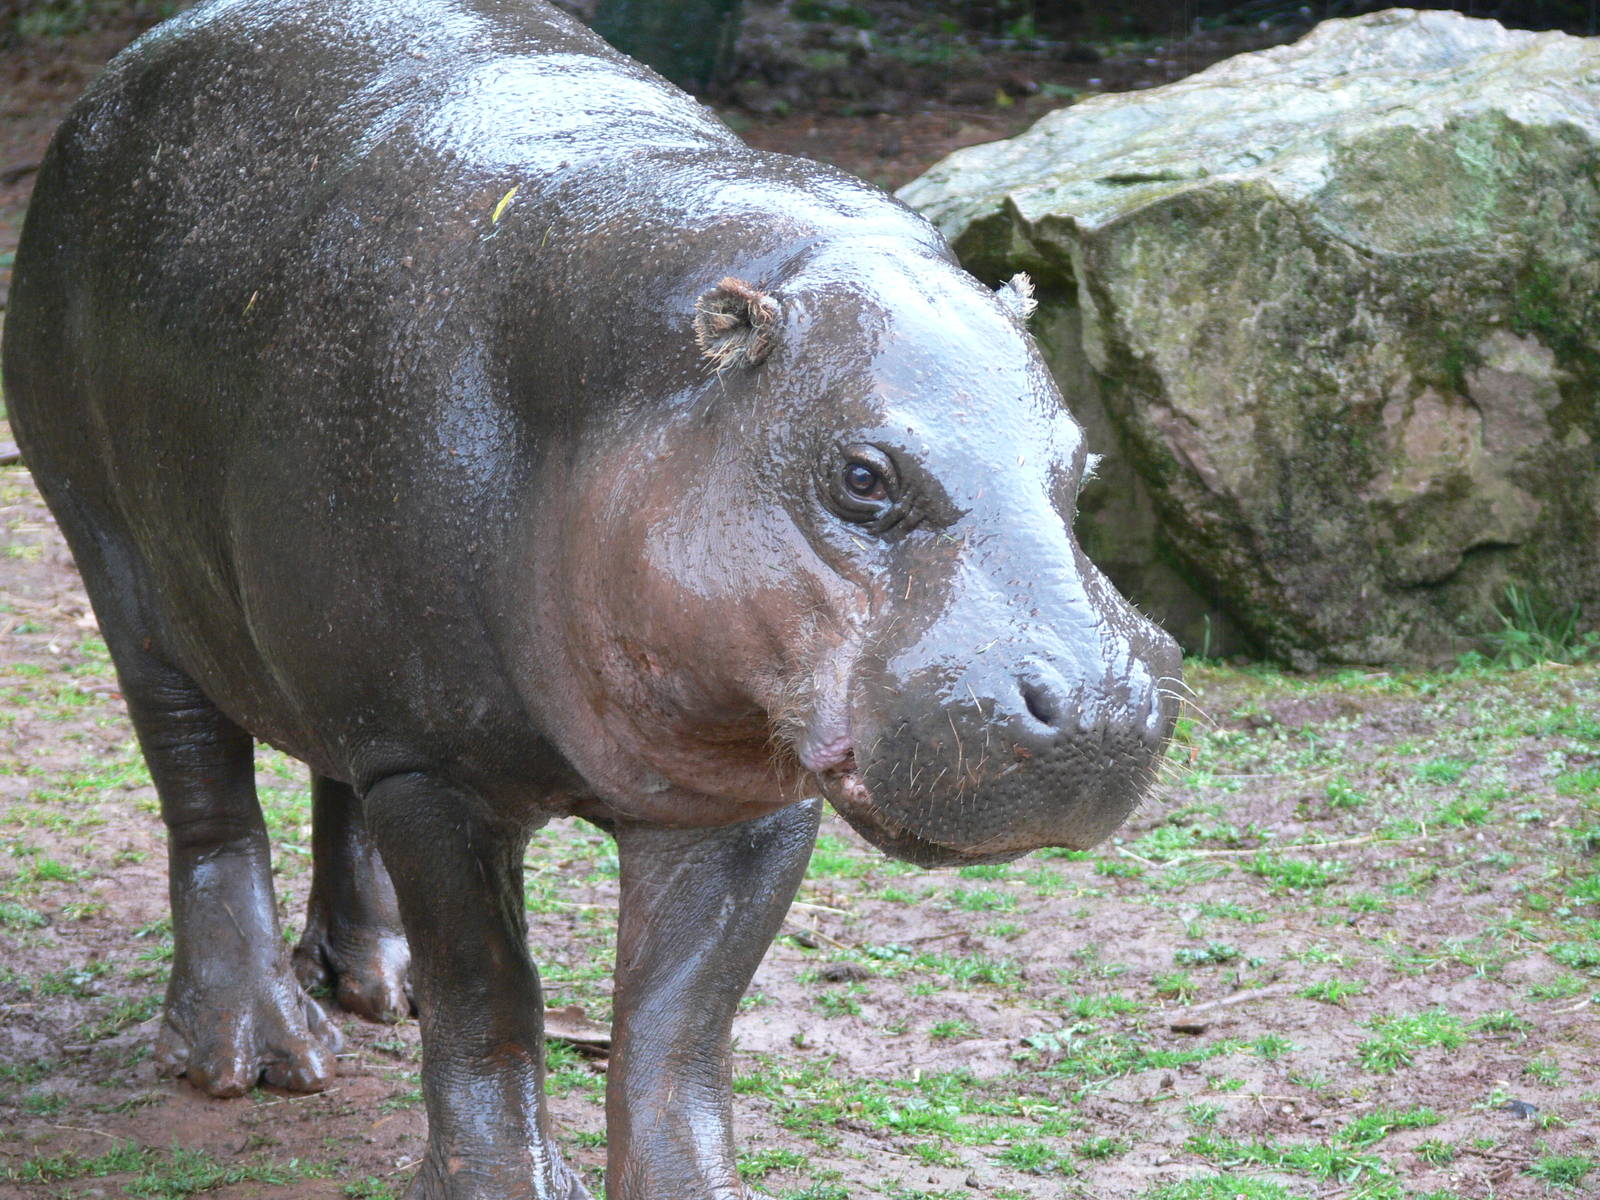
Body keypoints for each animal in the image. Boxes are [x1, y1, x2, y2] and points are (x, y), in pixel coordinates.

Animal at [2, 0, 1181, 1195]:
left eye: (1081, 465)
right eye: (861, 475)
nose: (1098, 709)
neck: (642, 381)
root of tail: (140, 59)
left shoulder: (735, 797)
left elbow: (676, 1030)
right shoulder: (432, 770)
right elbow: (491, 997)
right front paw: (503, 1181)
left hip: (322, 637)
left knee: (330, 773)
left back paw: (380, 987)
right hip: (121, 564)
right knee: (206, 794)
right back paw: (258, 1056)